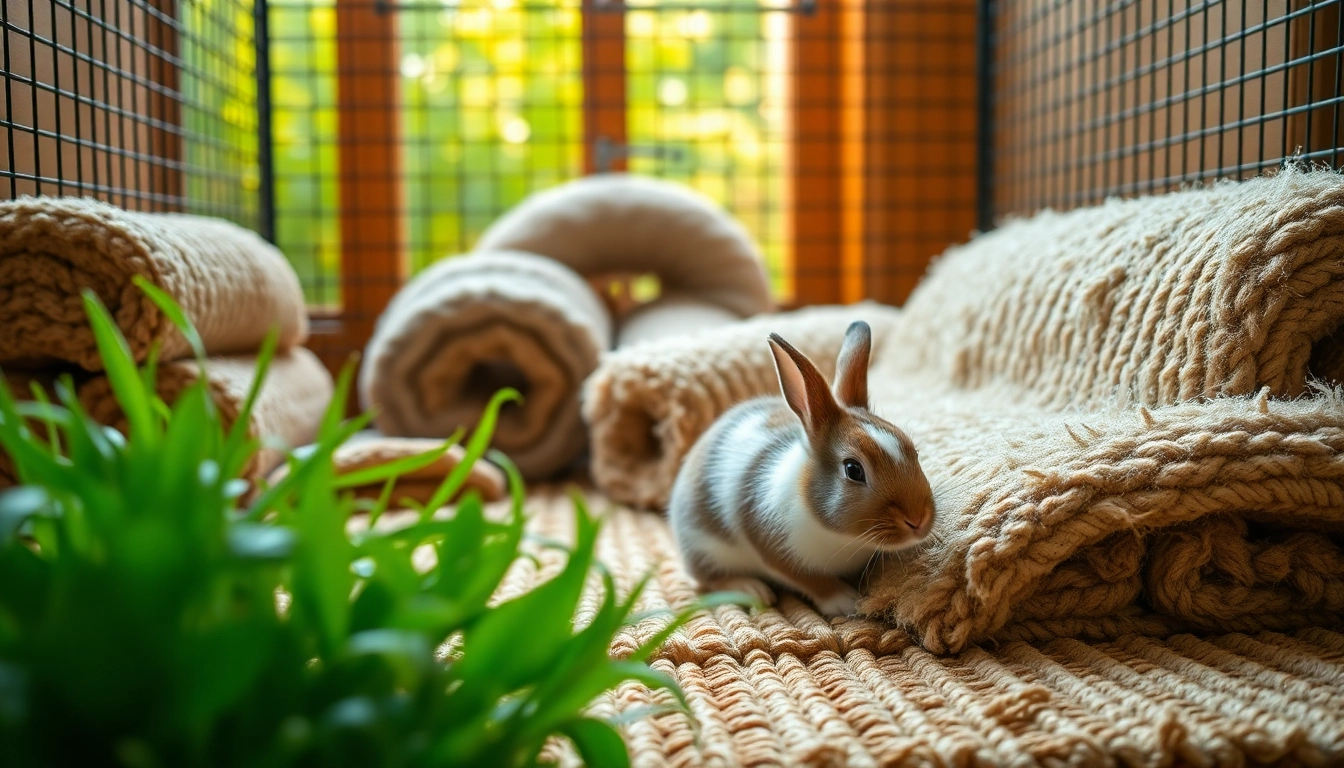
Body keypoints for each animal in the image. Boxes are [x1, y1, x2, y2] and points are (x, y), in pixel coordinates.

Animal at [667, 320, 935, 617]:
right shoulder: (775, 549)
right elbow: (810, 580)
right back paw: (752, 589)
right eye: (853, 470)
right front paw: (846, 601)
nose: (918, 521)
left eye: (913, 449)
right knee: (708, 578)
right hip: (704, 548)